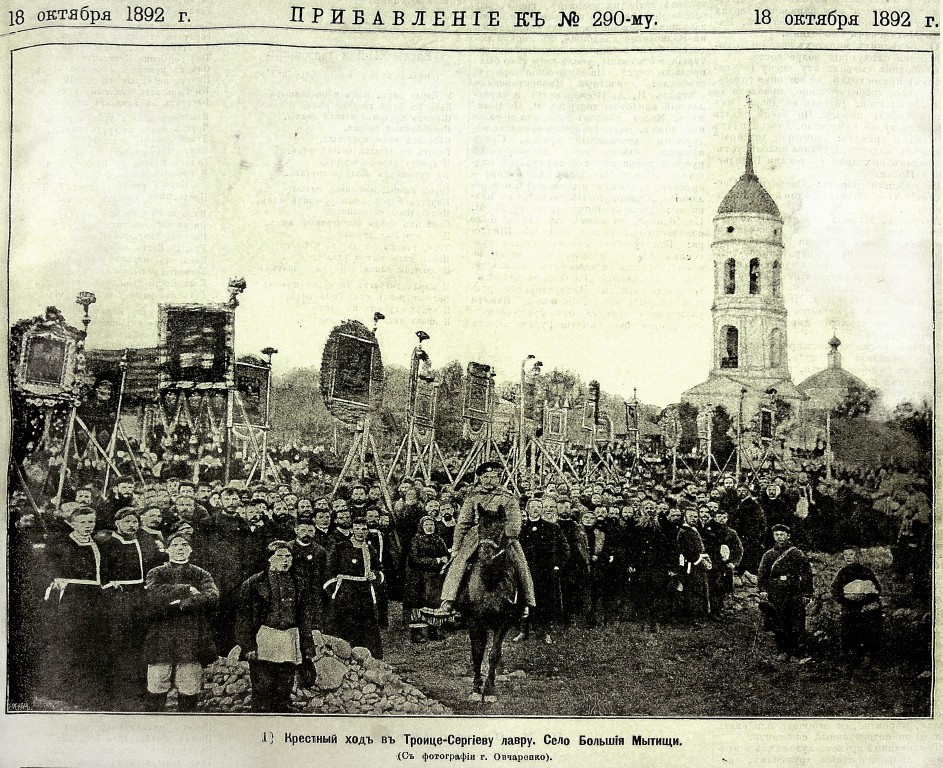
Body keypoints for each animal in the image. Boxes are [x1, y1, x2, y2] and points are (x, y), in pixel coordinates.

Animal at [452, 536, 520, 700]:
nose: (485, 556)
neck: (490, 580)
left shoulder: (504, 622)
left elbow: (494, 654)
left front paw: (489, 689)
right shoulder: (474, 621)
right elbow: (477, 652)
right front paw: (476, 688)